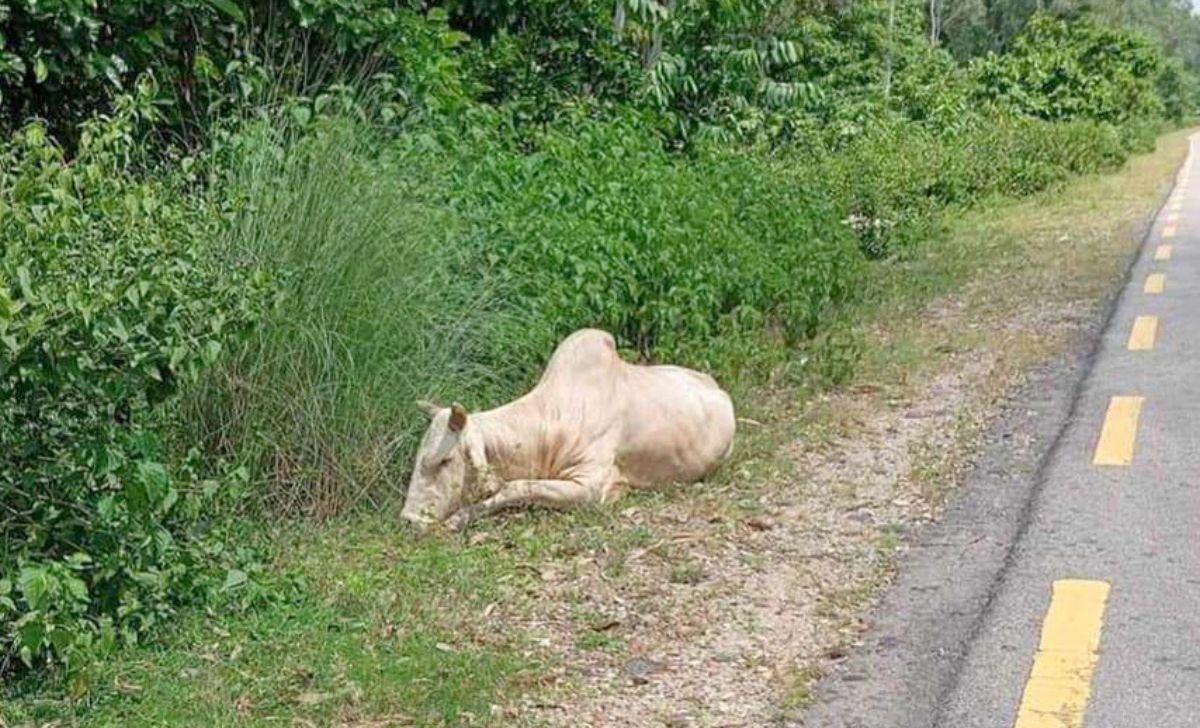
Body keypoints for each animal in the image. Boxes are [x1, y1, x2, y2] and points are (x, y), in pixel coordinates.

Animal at [400, 328, 729, 530]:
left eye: (445, 460)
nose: (408, 519)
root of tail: (715, 385)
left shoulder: (590, 486)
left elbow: (517, 487)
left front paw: (457, 520)